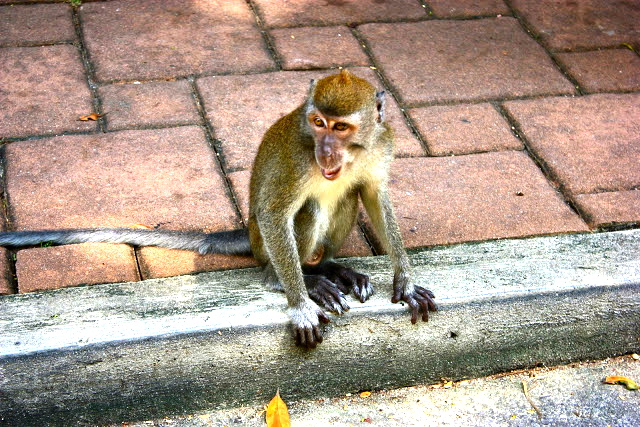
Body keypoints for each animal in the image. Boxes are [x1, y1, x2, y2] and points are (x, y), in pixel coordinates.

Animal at [0, 70, 436, 350]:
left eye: (340, 127)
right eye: (318, 122)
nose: (326, 151)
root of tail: (249, 234)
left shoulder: (382, 143)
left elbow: (375, 195)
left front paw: (405, 280)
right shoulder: (298, 157)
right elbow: (276, 212)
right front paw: (299, 306)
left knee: (349, 195)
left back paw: (329, 267)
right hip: (263, 244)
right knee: (303, 214)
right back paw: (298, 279)